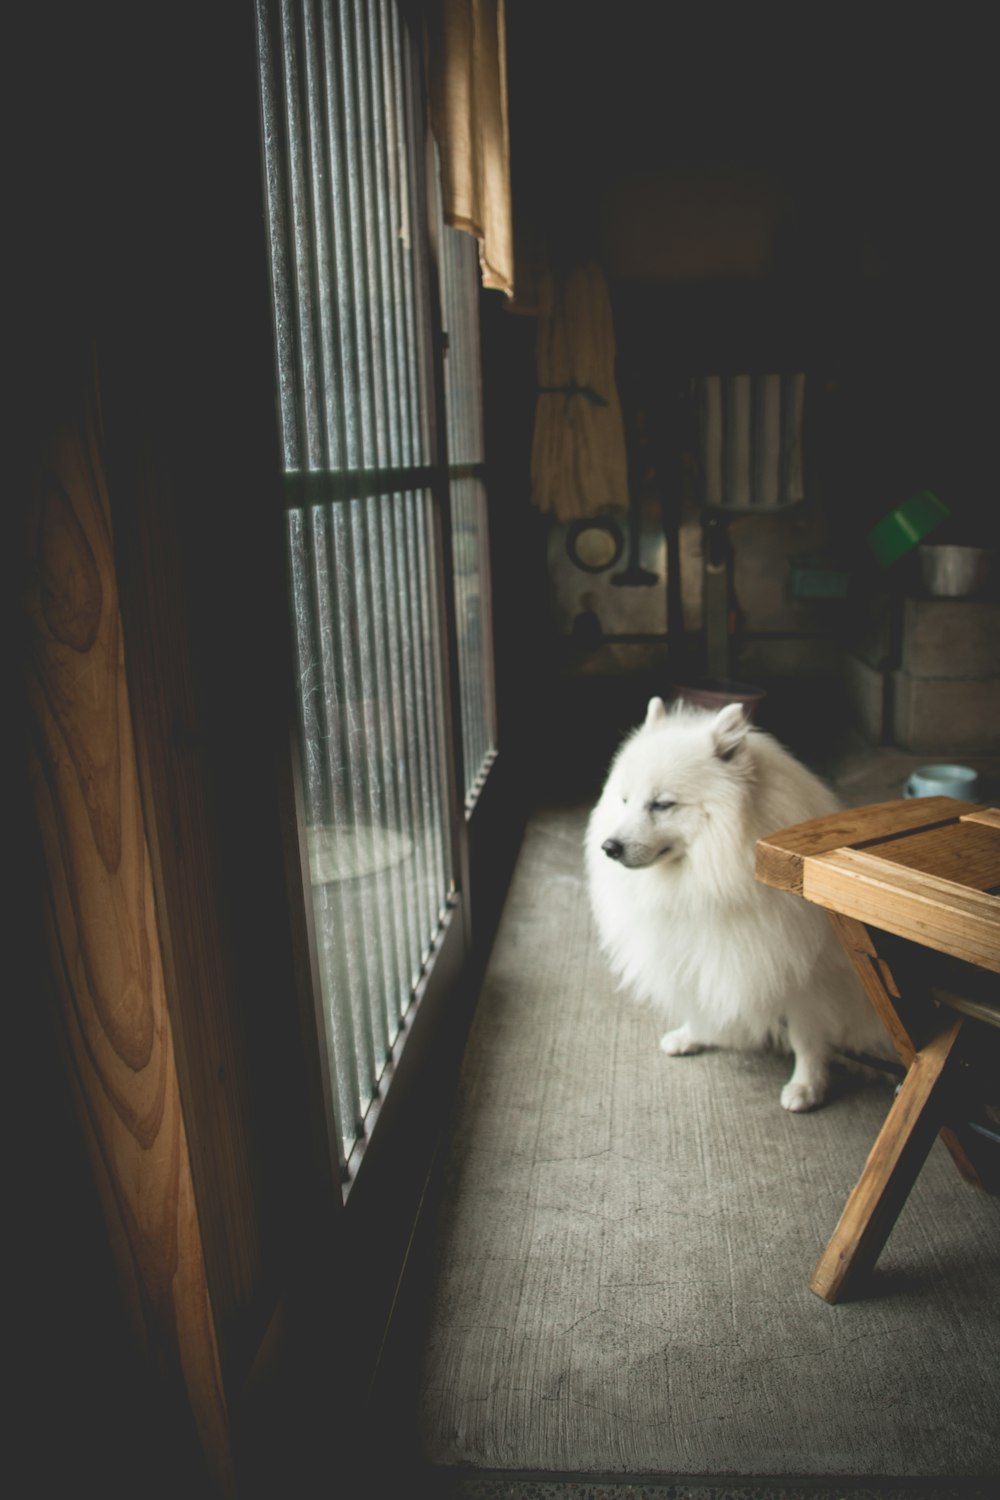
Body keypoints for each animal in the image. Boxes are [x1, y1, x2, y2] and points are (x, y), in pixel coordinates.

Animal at [587, 696, 893, 1110]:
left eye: (662, 804)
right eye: (624, 800)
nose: (609, 847)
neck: (703, 879)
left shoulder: (807, 978)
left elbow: (806, 1038)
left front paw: (806, 1087)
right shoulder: (704, 957)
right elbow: (703, 1003)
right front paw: (693, 1035)